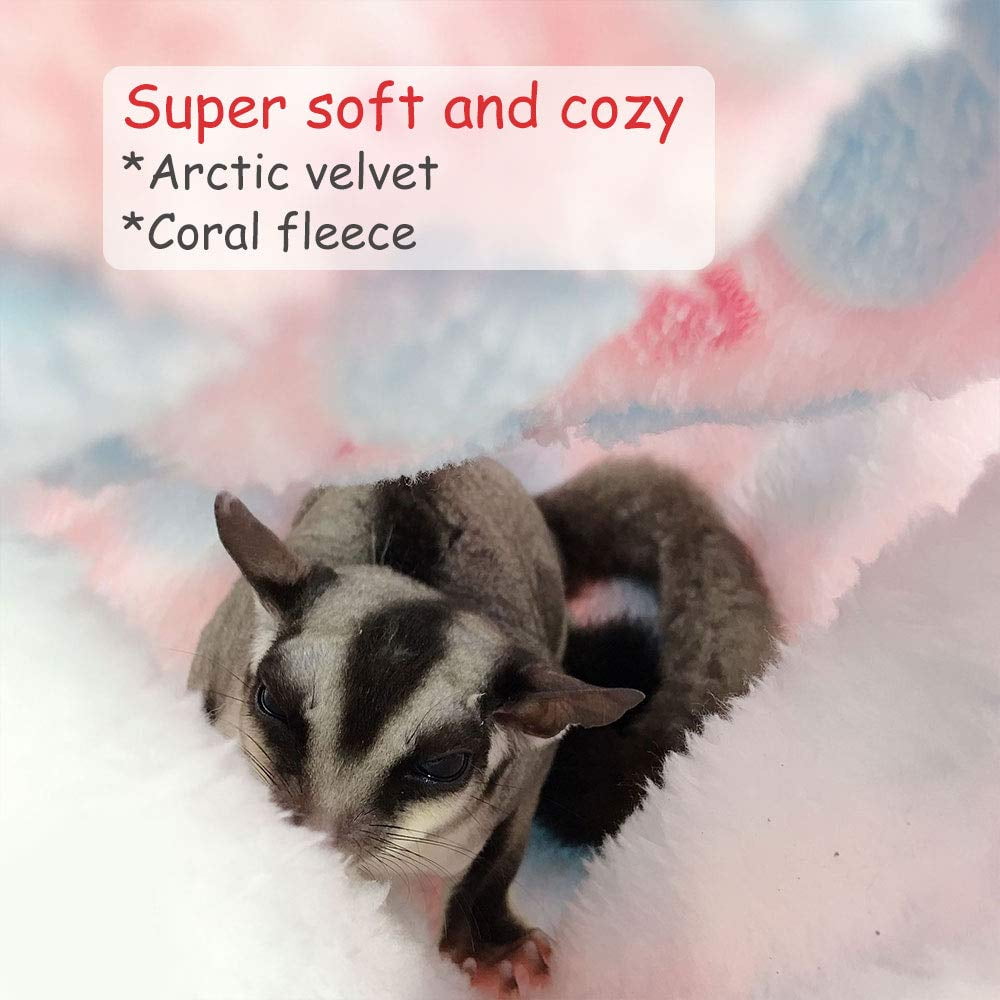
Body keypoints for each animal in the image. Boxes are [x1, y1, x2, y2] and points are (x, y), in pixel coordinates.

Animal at [188, 458, 643, 991]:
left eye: (444, 766)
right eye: (272, 704)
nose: (318, 837)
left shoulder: (524, 775)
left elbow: (506, 844)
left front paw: (493, 945)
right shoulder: (221, 654)